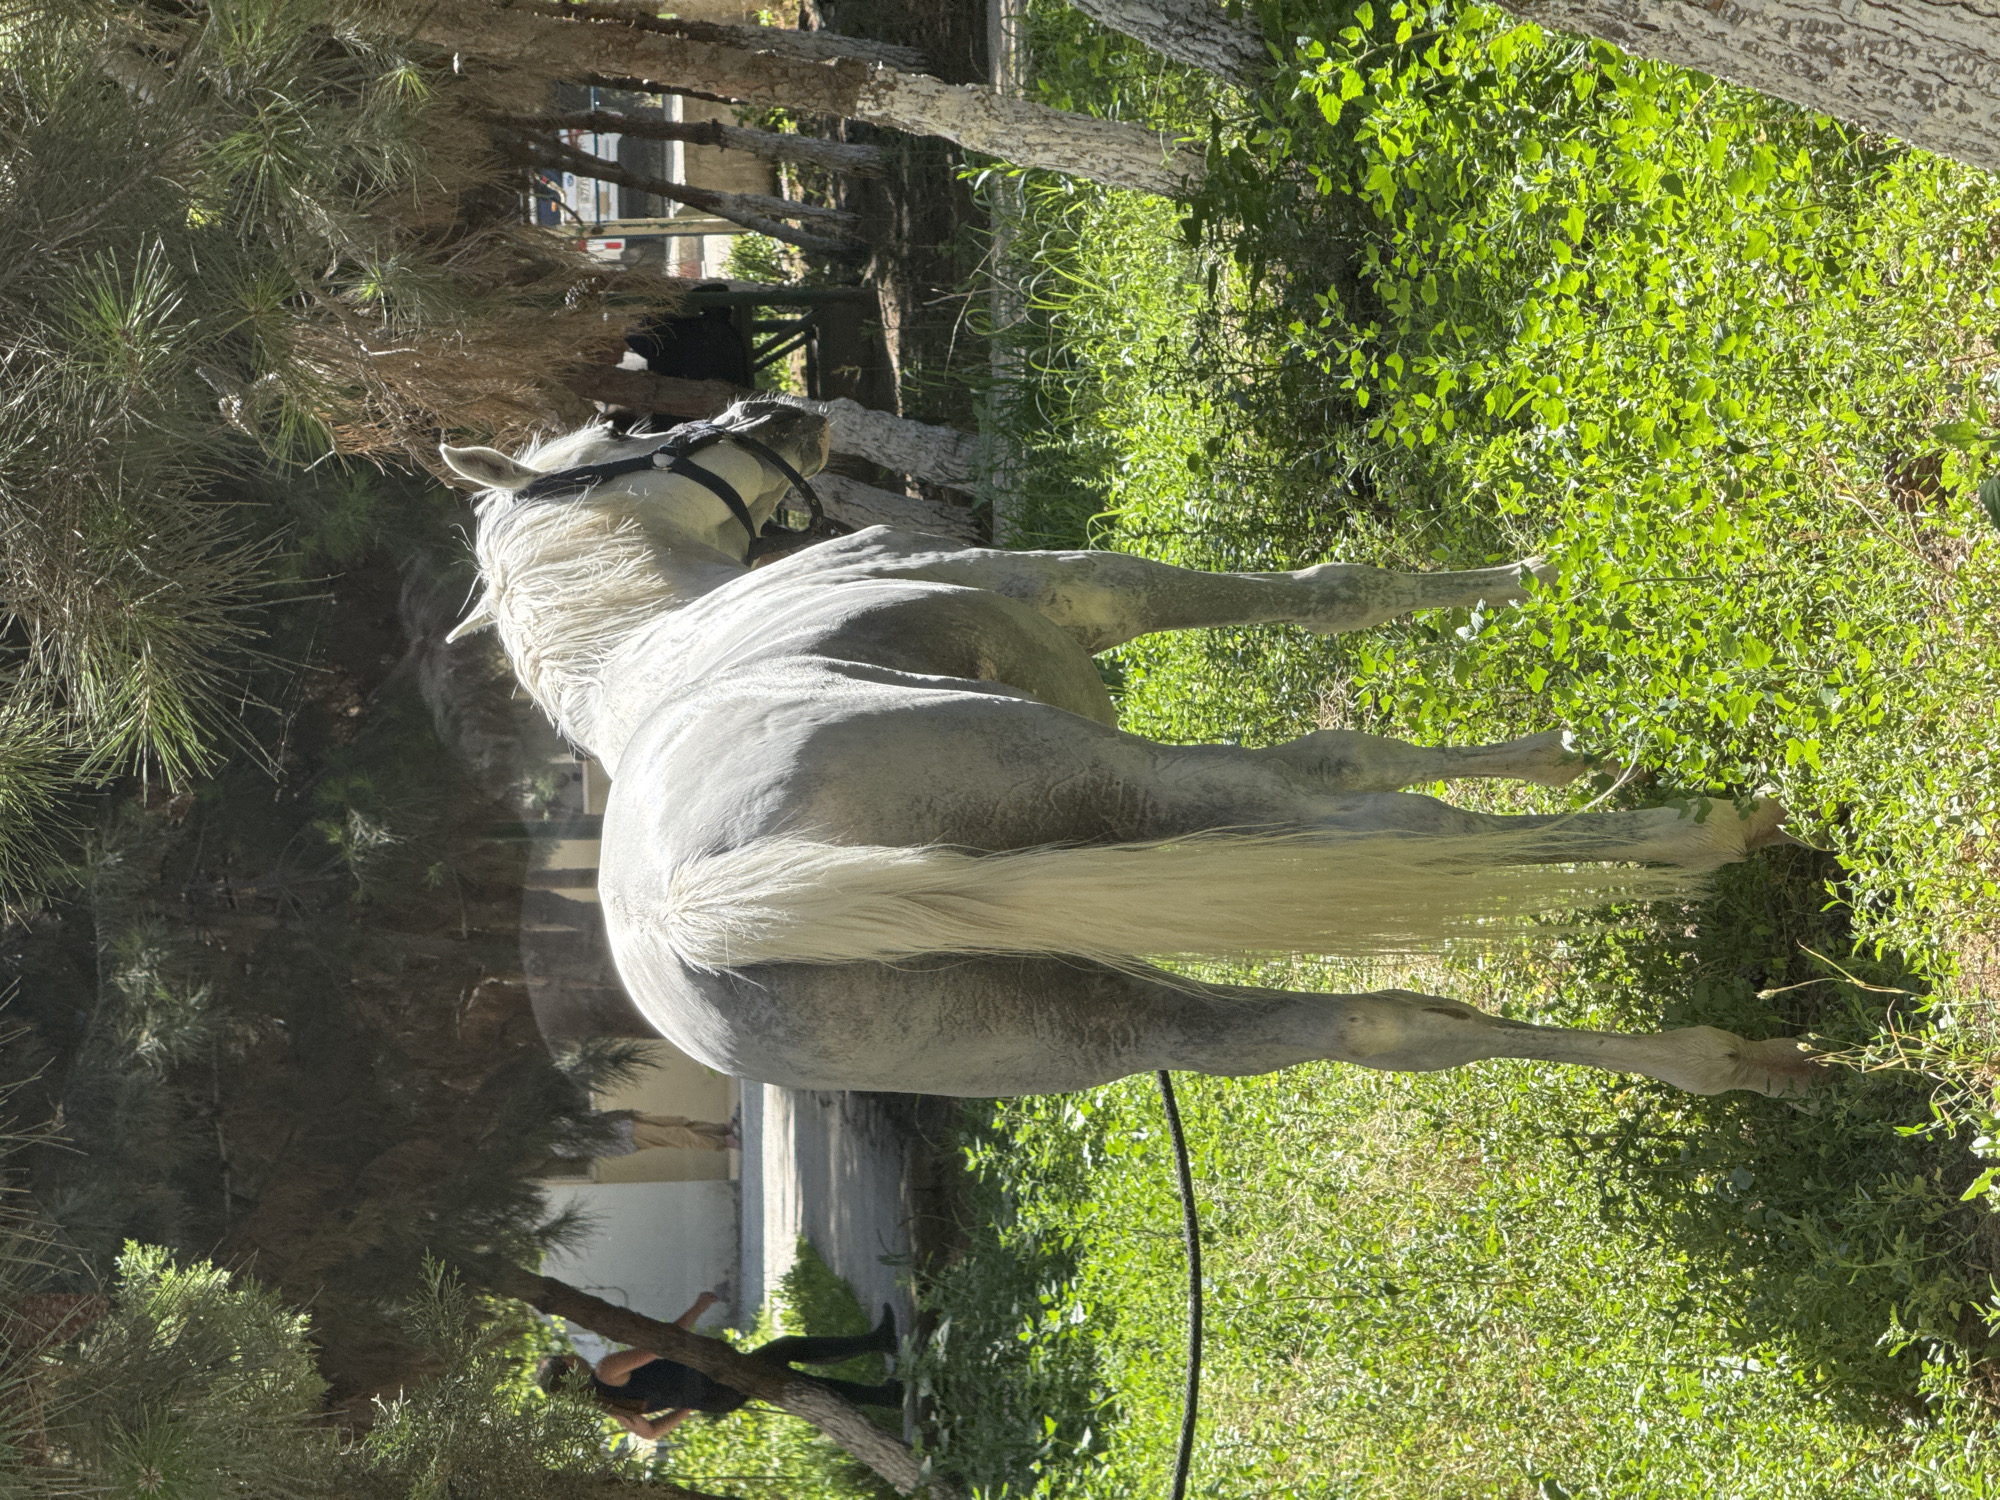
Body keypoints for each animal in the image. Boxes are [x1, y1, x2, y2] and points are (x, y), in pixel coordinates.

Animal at [440, 397, 1818, 1101]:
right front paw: (1532, 588)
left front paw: (1558, 742)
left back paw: (1733, 1063)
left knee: (1380, 1022)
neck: (654, 642)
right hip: (1132, 791)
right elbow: (1340, 617)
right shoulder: (1087, 591)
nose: (787, 408)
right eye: (626, 426)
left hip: (1098, 1022)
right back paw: (1699, 838)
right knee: (1388, 831)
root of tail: (694, 906)